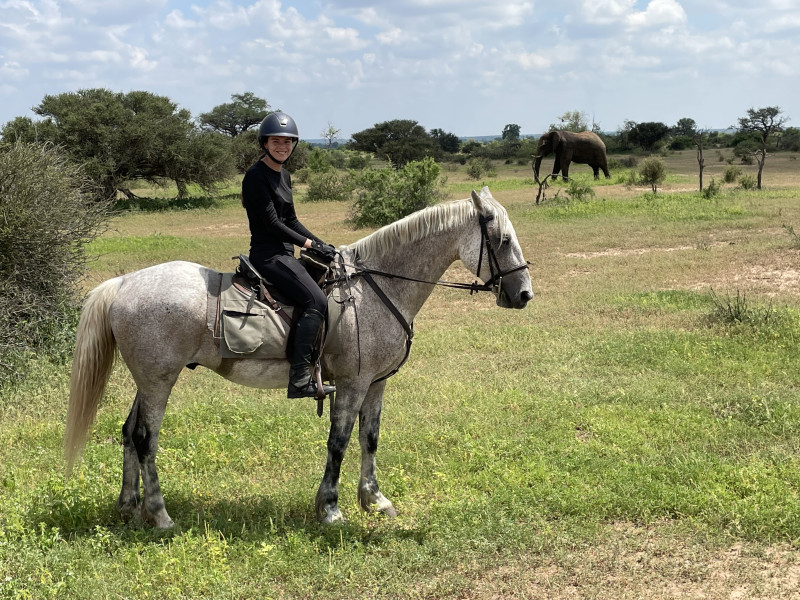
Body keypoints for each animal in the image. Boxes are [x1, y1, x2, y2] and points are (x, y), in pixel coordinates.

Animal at [64, 188, 532, 524]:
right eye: (504, 240)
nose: (524, 295)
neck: (377, 287)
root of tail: (124, 283)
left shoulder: (376, 384)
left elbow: (370, 438)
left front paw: (374, 499)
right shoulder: (352, 383)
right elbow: (339, 441)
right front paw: (331, 508)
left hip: (148, 380)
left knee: (129, 433)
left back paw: (129, 507)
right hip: (160, 380)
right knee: (147, 439)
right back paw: (160, 515)